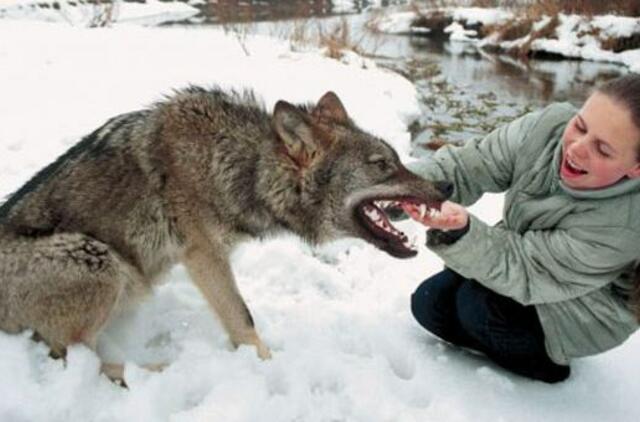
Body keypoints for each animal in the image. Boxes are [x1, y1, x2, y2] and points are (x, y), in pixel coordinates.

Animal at [0, 87, 450, 378]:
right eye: (382, 165)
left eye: (397, 160)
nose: (446, 187)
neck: (242, 166)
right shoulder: (204, 256)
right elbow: (243, 319)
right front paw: (265, 368)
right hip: (99, 259)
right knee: (73, 356)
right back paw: (151, 372)